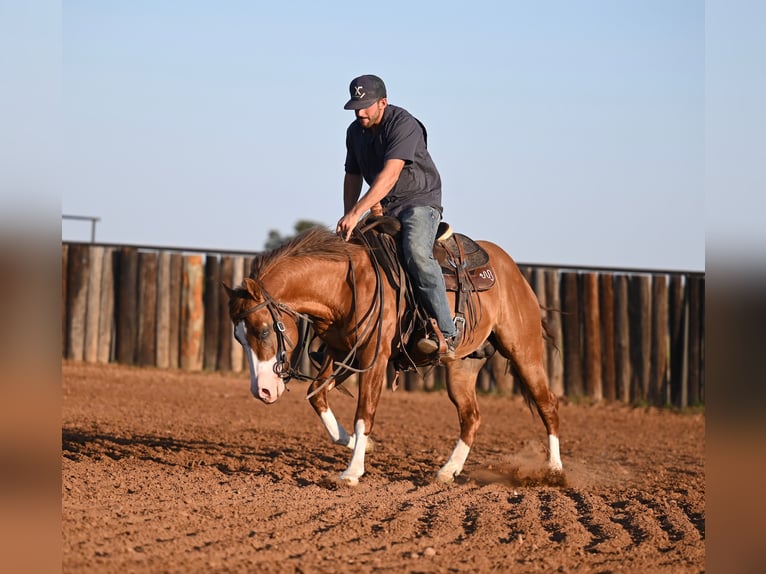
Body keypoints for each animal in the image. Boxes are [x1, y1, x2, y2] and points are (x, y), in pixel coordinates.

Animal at [225, 227, 560, 488]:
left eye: (264, 331)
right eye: (238, 337)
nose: (262, 391)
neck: (344, 286)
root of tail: (512, 270)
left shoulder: (375, 356)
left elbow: (364, 412)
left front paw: (352, 472)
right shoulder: (342, 354)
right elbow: (316, 394)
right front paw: (356, 443)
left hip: (524, 352)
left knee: (547, 403)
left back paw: (554, 470)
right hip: (462, 366)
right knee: (471, 416)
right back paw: (448, 470)